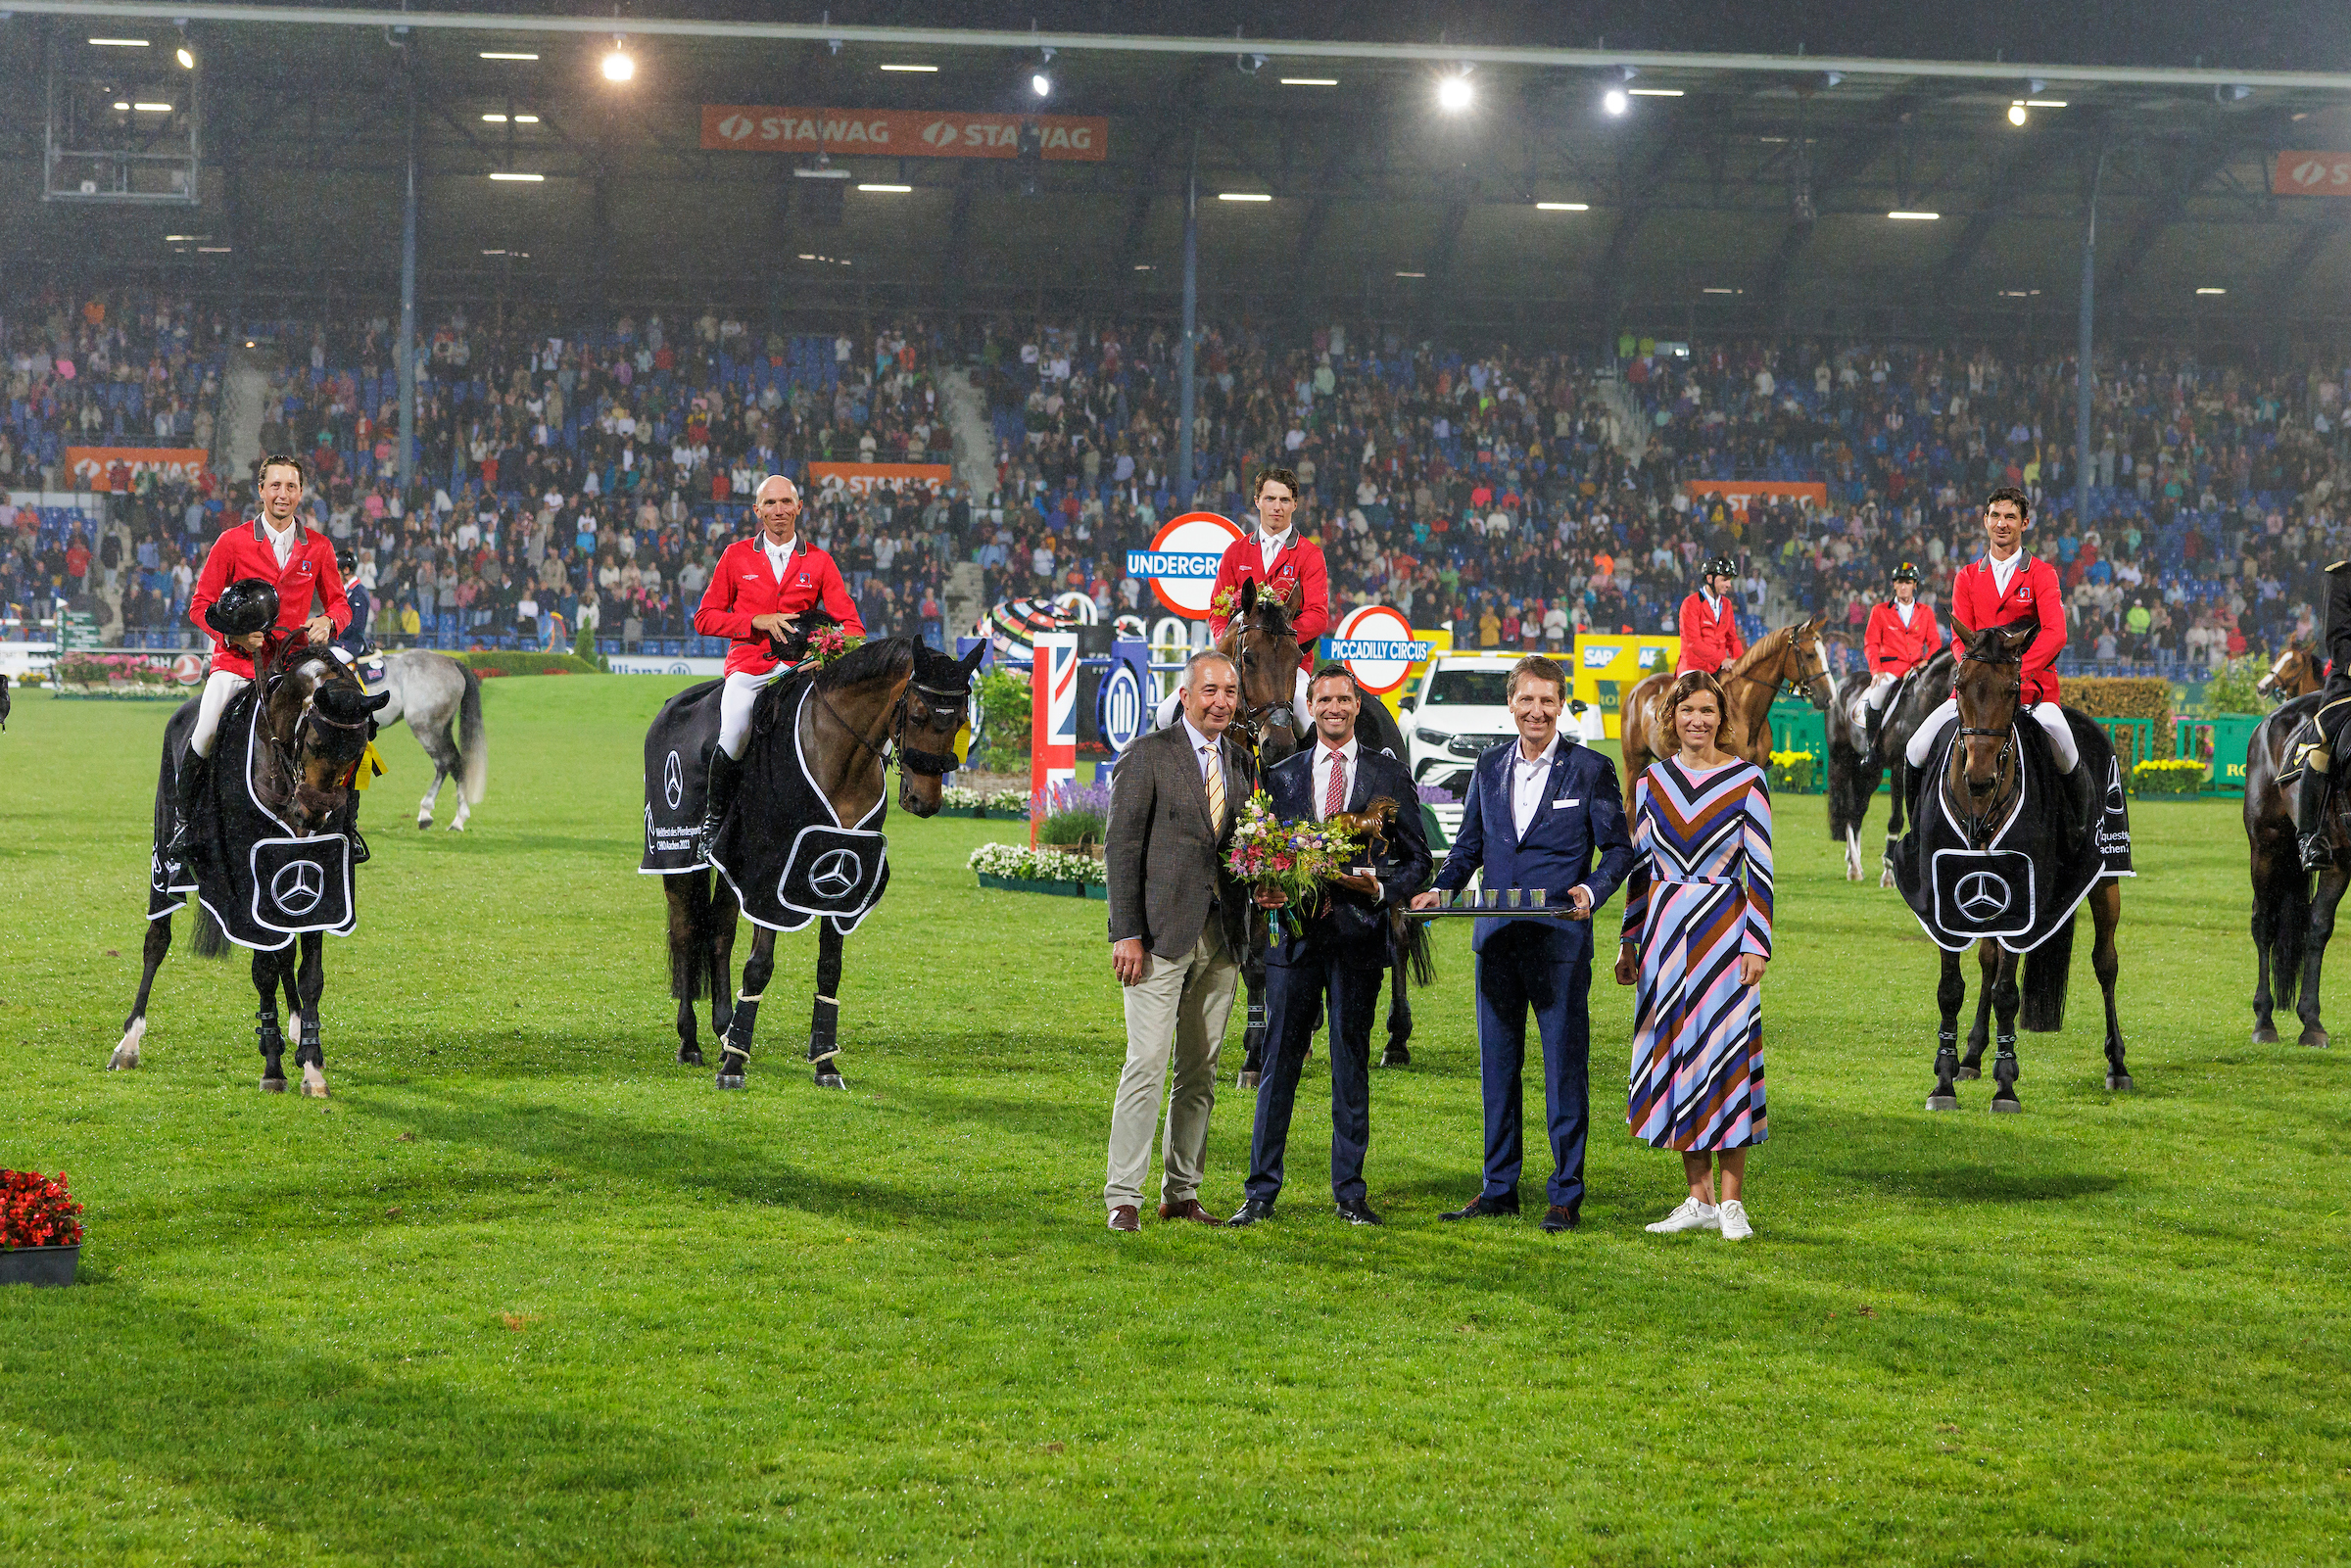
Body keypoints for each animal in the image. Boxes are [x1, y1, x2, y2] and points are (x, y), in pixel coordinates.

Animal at [110, 643, 383, 1100]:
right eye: (314, 741)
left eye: (360, 749)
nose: (313, 812)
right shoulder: (247, 882)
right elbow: (263, 972)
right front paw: (273, 1067)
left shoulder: (319, 882)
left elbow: (309, 974)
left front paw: (312, 1065)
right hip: (164, 862)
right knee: (156, 940)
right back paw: (128, 1043)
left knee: (285, 954)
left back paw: (296, 1027)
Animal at [368, 648, 489, 832]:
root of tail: (451, 661)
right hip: (442, 728)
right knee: (453, 763)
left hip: (426, 728)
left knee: (445, 763)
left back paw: (438, 815)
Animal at [658, 639, 978, 1090]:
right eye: (917, 715)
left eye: (962, 719)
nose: (924, 801)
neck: (841, 757)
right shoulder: (770, 875)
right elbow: (758, 966)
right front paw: (734, 1067)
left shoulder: (843, 878)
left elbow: (830, 968)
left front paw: (825, 1063)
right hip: (676, 860)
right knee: (686, 934)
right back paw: (691, 1044)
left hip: (732, 868)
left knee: (719, 932)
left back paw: (723, 1032)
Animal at [1928, 620, 2135, 1109]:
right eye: (1960, 685)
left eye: (2013, 688)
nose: (1979, 778)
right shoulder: (1949, 893)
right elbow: (1951, 988)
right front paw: (1945, 1080)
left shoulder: (2021, 896)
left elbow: (2007, 991)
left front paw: (2005, 1085)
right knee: (1988, 960)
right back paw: (1972, 1056)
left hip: (2107, 878)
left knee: (2106, 962)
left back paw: (2117, 1065)